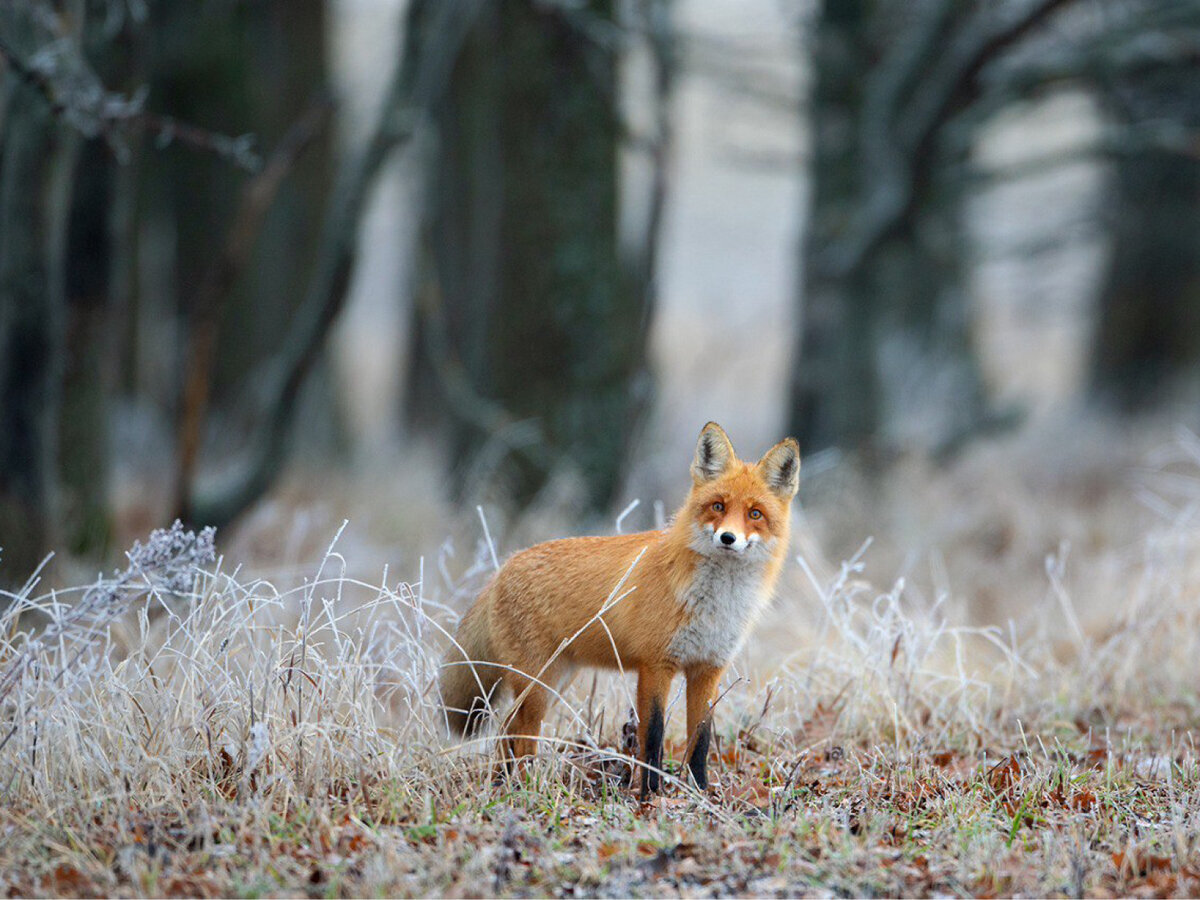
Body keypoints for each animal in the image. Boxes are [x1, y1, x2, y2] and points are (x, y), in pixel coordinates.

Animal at [439, 422, 796, 796]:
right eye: (718, 506)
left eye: (755, 514)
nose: (728, 538)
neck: (714, 603)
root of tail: (503, 568)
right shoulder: (655, 665)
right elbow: (652, 737)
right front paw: (650, 795)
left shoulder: (707, 668)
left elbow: (700, 741)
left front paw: (700, 794)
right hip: (539, 685)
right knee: (521, 737)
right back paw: (525, 787)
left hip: (554, 682)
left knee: (507, 729)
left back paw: (502, 785)